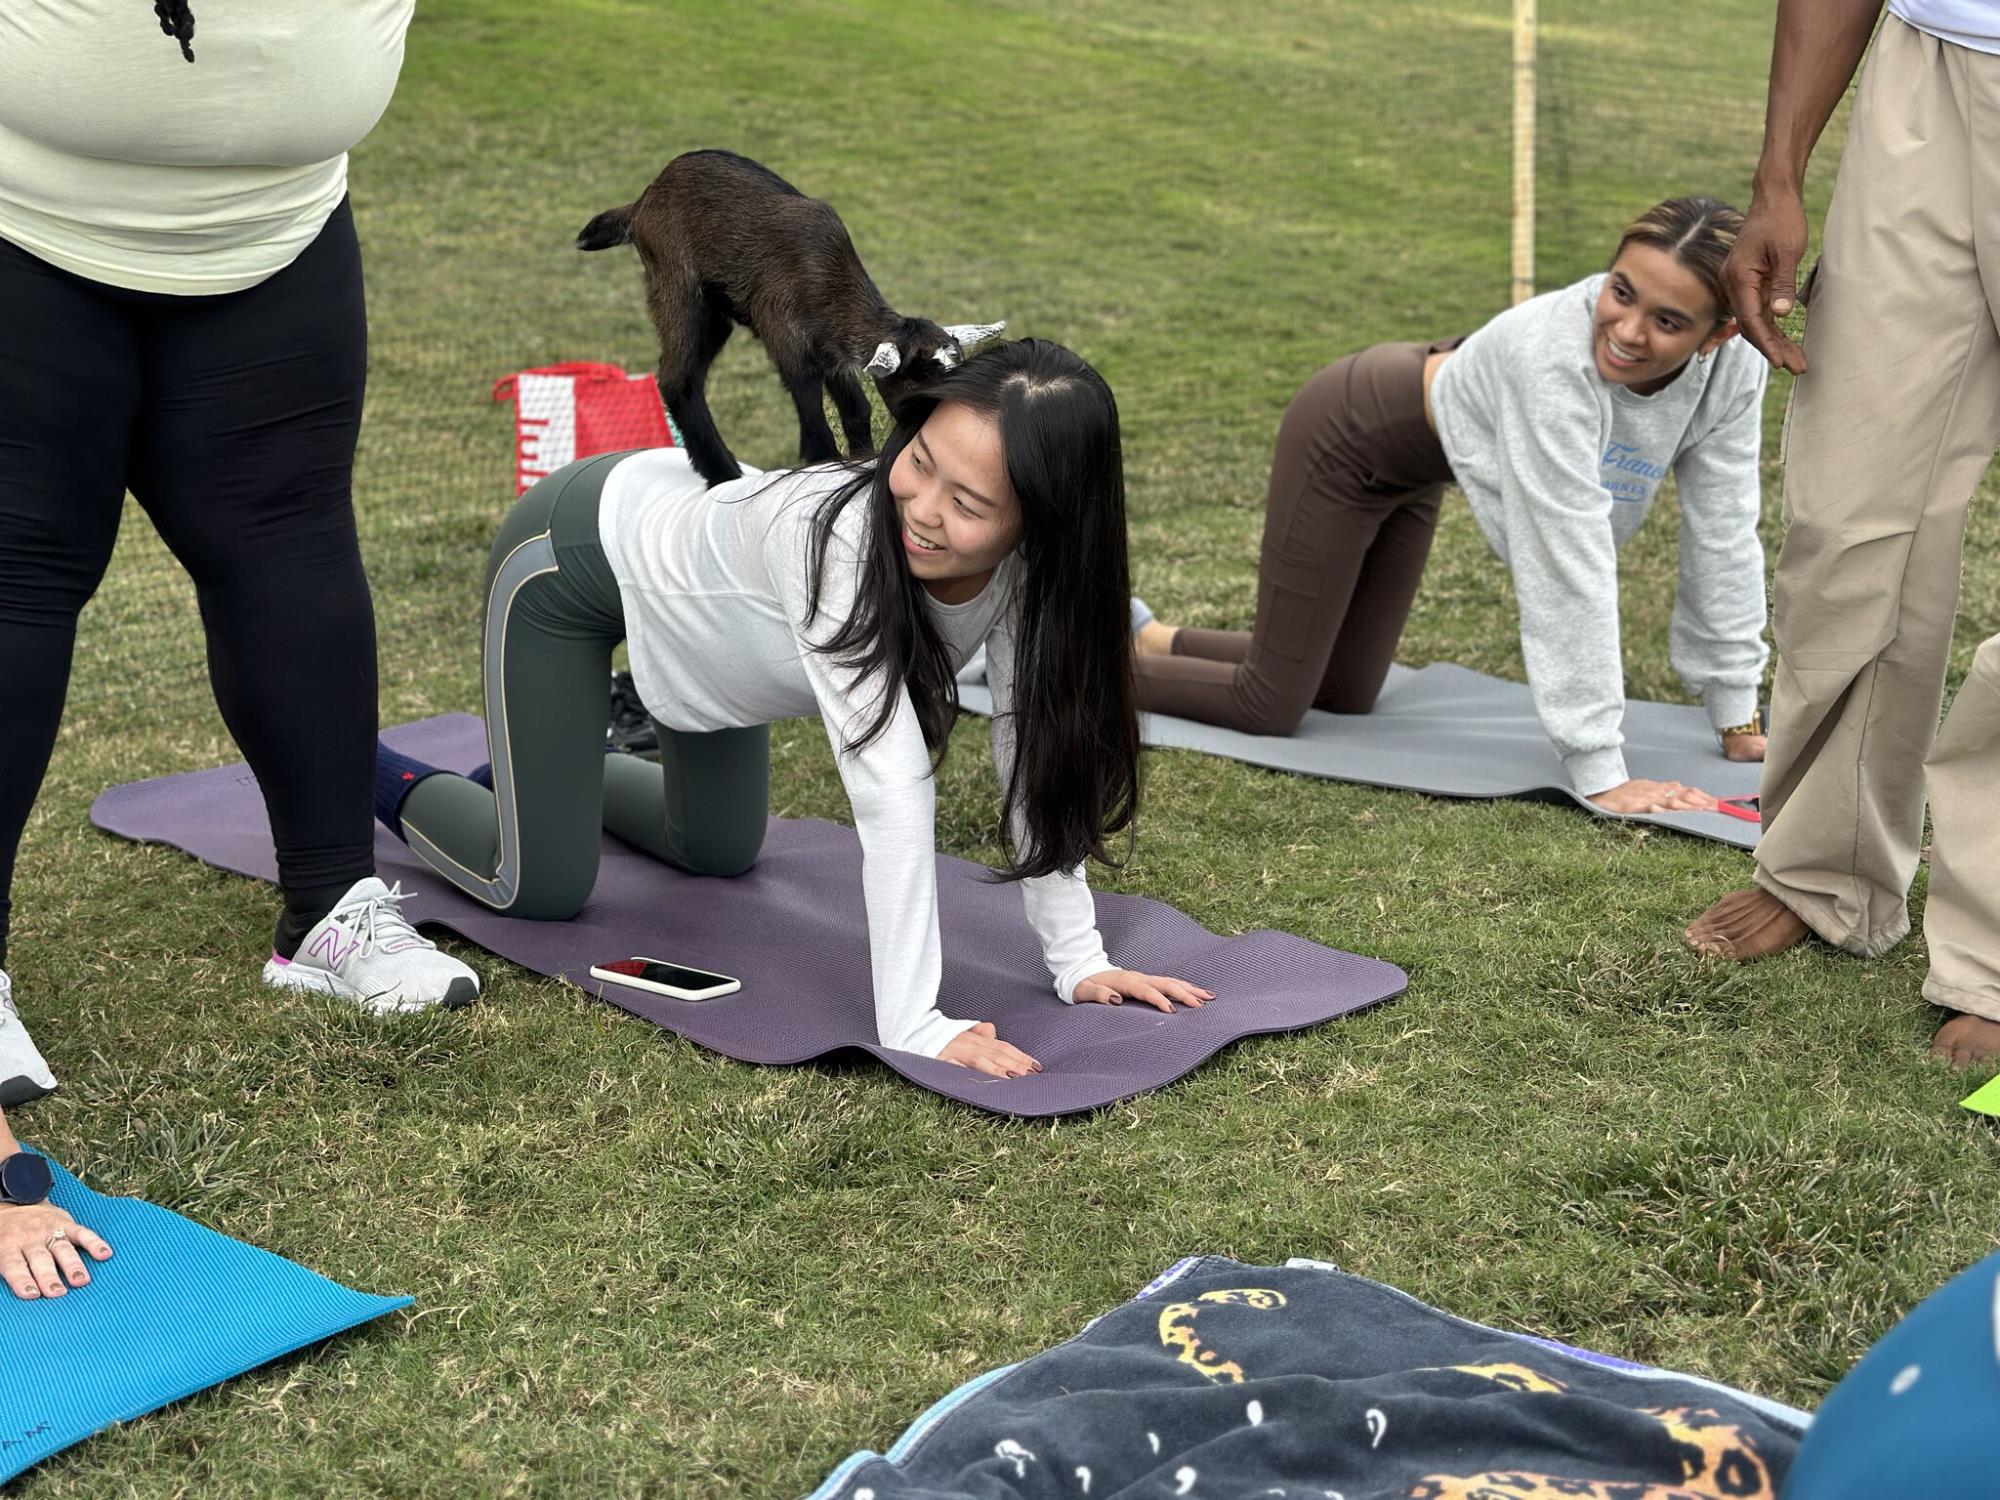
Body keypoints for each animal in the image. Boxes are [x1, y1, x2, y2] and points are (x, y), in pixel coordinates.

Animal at [576, 151, 996, 488]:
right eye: (915, 379)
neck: (827, 279)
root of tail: (643, 200)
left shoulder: (832, 352)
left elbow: (856, 410)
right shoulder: (782, 329)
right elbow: (812, 416)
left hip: (715, 316)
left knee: (689, 376)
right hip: (677, 287)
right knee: (675, 378)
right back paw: (723, 472)